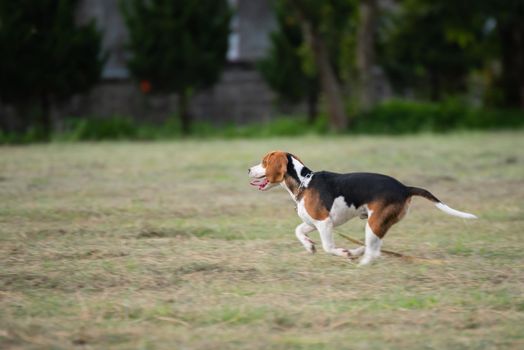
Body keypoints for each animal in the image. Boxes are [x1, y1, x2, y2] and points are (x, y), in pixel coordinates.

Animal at [248, 150, 476, 266]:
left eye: (264, 162)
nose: (249, 169)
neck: (305, 181)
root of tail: (404, 188)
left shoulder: (324, 223)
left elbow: (328, 247)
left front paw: (342, 253)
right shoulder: (314, 222)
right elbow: (298, 231)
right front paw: (309, 246)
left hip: (374, 222)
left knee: (374, 251)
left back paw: (358, 261)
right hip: (379, 223)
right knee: (373, 246)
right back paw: (357, 251)